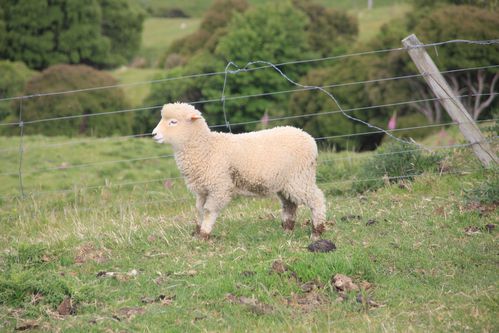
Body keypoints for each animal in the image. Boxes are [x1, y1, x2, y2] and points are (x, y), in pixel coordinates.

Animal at [152, 101, 328, 239]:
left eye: (173, 122)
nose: (154, 134)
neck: (206, 148)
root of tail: (309, 138)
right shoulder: (203, 190)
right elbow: (200, 210)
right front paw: (197, 232)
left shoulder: (219, 187)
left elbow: (209, 211)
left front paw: (204, 234)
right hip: (284, 184)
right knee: (289, 205)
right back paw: (287, 230)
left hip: (299, 178)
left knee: (317, 199)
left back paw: (317, 232)